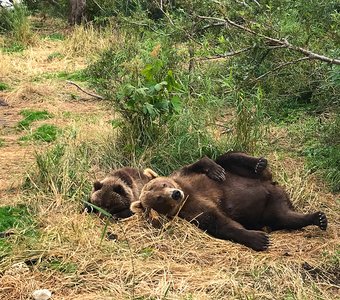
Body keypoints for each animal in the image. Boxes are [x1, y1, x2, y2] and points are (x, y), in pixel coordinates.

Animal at [131, 152, 328, 251]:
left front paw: (215, 170)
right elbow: (220, 223)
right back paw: (318, 218)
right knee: (284, 217)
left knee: (228, 158)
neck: (187, 195)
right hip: (270, 208)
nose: (175, 194)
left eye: (163, 184)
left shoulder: (183, 176)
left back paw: (258, 163)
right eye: (159, 199)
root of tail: (273, 186)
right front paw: (258, 239)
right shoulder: (193, 212)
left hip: (246, 175)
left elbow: (201, 162)